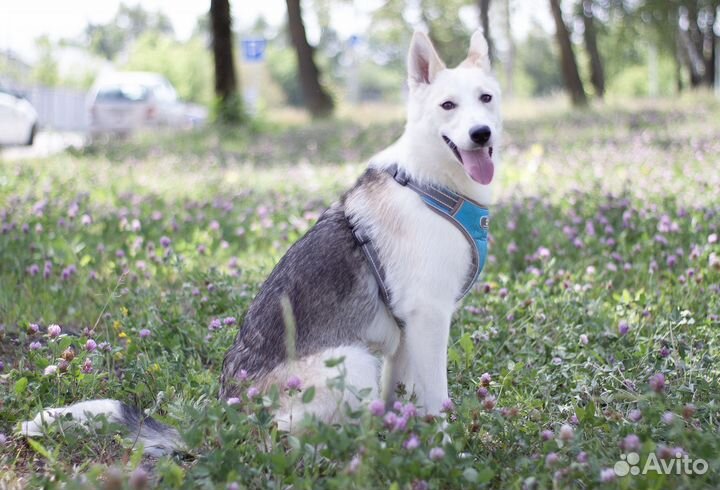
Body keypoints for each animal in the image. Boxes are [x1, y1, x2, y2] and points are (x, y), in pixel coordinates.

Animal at [21, 29, 500, 456]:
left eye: (486, 99)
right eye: (447, 105)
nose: (482, 134)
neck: (431, 183)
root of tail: (223, 423)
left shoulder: (404, 335)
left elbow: (401, 398)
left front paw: (409, 443)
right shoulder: (427, 319)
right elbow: (437, 400)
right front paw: (444, 452)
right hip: (353, 360)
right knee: (288, 441)